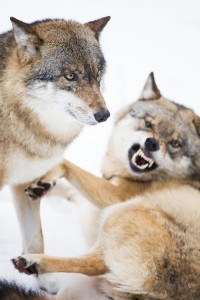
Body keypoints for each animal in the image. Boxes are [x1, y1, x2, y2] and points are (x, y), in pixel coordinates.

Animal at [12, 73, 200, 300]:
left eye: (175, 144)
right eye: (148, 123)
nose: (152, 143)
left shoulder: (116, 195)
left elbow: (66, 163)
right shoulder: (81, 194)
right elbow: (63, 185)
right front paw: (42, 184)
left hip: (123, 212)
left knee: (94, 263)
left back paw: (33, 263)